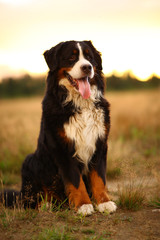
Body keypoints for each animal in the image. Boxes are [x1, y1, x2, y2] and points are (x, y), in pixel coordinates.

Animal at [1, 41, 117, 216]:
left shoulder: (99, 143)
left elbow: (99, 178)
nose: (87, 67)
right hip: (29, 161)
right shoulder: (62, 148)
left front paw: (104, 202)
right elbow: (75, 180)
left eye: (89, 57)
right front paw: (83, 205)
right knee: (30, 201)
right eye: (71, 57)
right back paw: (46, 205)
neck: (79, 104)